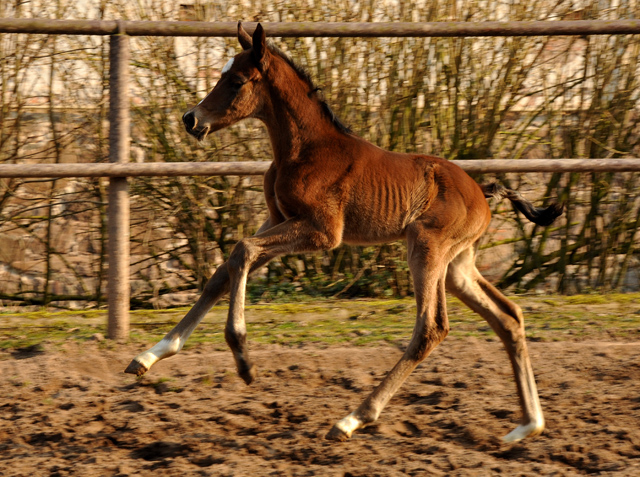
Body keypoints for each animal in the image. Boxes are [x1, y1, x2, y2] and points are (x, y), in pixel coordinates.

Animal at [124, 24, 560, 442]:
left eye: (236, 81)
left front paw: (243, 359)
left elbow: (242, 251)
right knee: (508, 317)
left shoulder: (322, 232)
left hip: (427, 247)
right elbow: (225, 269)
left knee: (432, 327)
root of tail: (482, 193)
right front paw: (150, 355)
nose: (191, 119)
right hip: (457, 265)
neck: (305, 151)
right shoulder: (278, 219)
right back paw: (527, 426)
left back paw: (353, 419)